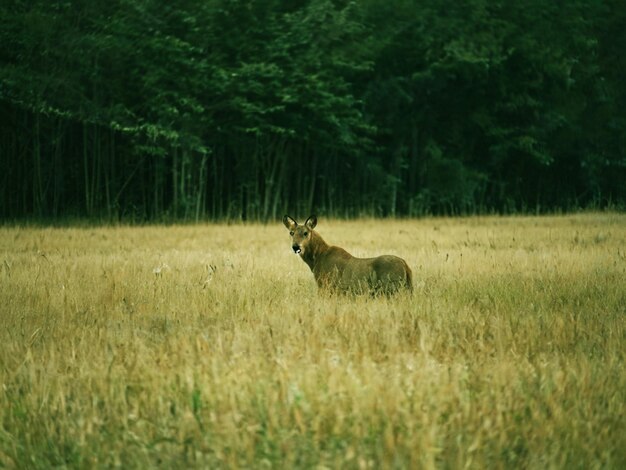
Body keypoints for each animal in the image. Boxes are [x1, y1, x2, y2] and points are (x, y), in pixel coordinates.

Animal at [282, 216, 410, 296]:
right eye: (291, 233)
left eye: (305, 233)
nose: (296, 247)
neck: (315, 260)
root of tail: (406, 266)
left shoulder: (326, 285)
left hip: (392, 288)